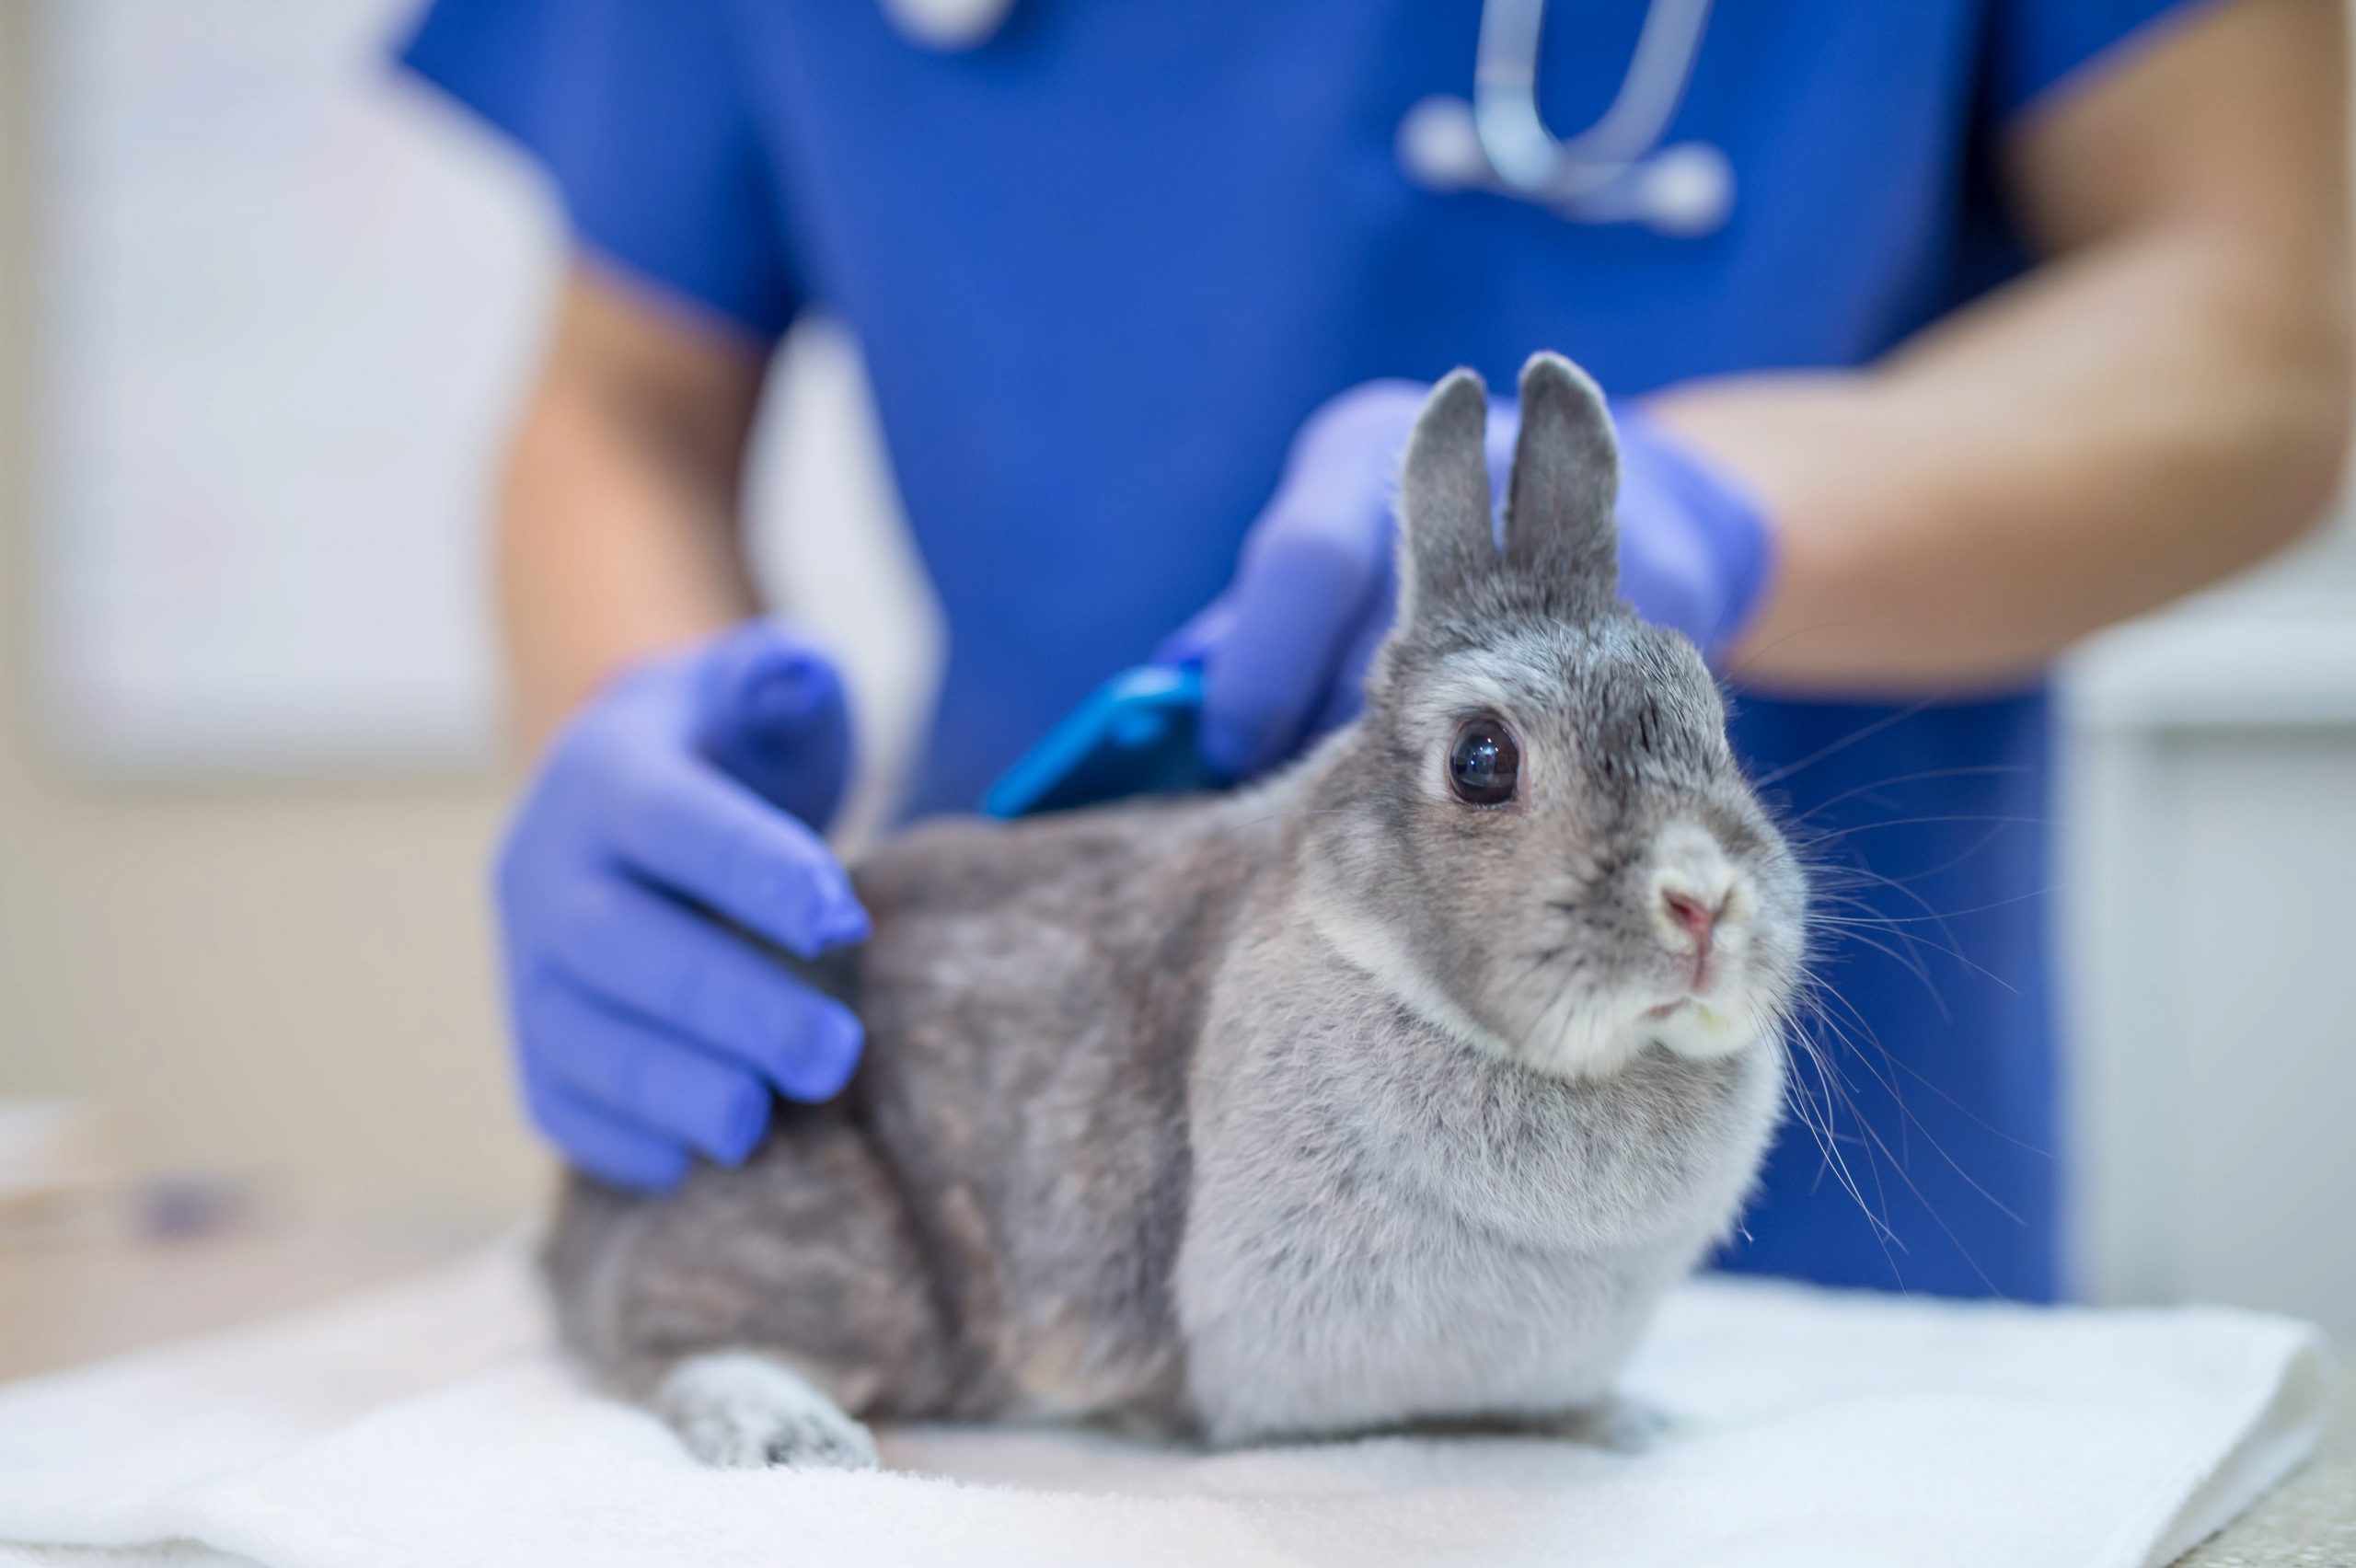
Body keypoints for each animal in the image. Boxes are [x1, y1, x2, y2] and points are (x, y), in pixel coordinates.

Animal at [546, 351, 1799, 1469]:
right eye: (1482, 759)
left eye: (1714, 724)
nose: (1702, 903)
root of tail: (577, 1225)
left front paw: (1625, 1423)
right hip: (839, 1253)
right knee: (673, 1344)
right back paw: (789, 1434)